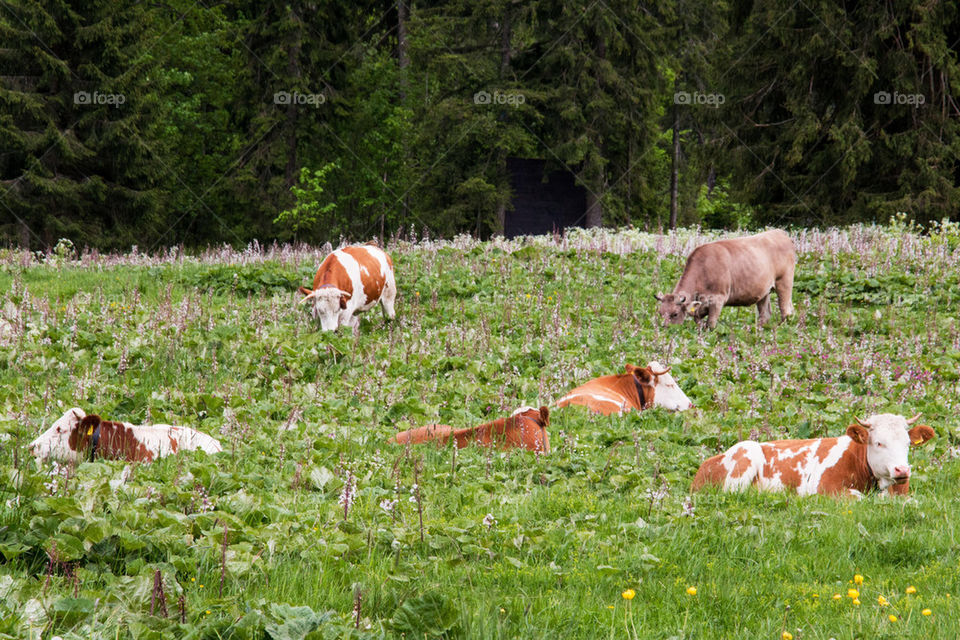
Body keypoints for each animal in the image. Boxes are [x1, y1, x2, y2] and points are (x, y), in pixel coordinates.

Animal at [656, 230, 800, 330]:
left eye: (675, 314)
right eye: (660, 313)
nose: (664, 329)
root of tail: (780, 232)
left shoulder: (718, 300)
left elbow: (710, 325)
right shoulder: (699, 309)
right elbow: (699, 324)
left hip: (784, 282)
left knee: (786, 310)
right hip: (764, 291)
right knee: (766, 315)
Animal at [692, 412, 932, 498]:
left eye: (907, 443)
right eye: (879, 443)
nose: (902, 469)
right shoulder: (821, 488)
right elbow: (857, 497)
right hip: (747, 453)